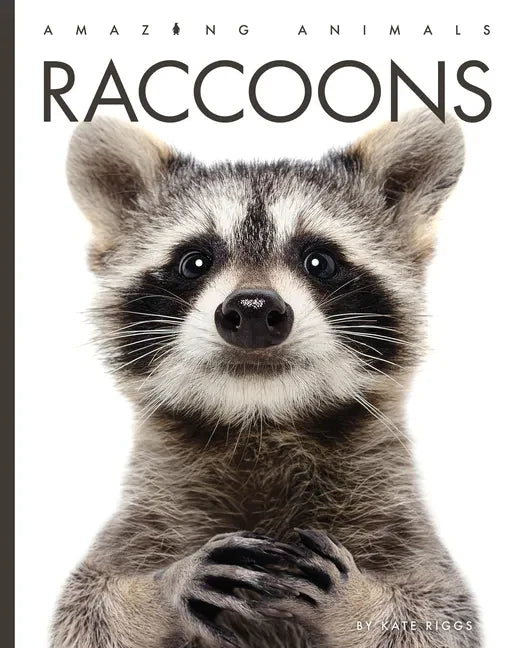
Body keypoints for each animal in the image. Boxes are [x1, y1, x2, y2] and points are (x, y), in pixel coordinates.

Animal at [51, 110, 480, 648]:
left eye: (319, 260)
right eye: (194, 261)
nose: (254, 311)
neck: (260, 421)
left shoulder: (402, 527)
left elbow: (441, 617)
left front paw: (357, 601)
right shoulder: (141, 523)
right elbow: (85, 608)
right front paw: (158, 590)